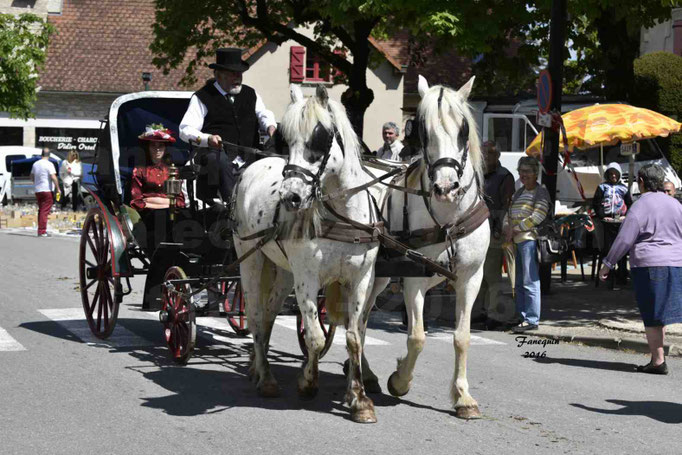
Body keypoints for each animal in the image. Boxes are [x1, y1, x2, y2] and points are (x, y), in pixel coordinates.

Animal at [234, 83, 382, 422]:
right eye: (286, 141)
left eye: (320, 139)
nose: (291, 197)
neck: (343, 215)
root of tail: (253, 166)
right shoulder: (308, 279)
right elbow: (315, 337)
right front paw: (307, 382)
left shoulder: (360, 279)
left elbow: (354, 338)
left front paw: (359, 400)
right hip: (251, 259)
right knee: (256, 315)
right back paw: (266, 378)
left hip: (283, 273)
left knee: (269, 315)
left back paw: (258, 369)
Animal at [362, 75, 488, 420]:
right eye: (423, 130)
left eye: (463, 130)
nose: (446, 187)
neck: (448, 218)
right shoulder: (413, 278)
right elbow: (417, 337)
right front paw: (400, 381)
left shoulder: (470, 278)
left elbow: (462, 337)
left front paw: (463, 397)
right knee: (355, 320)